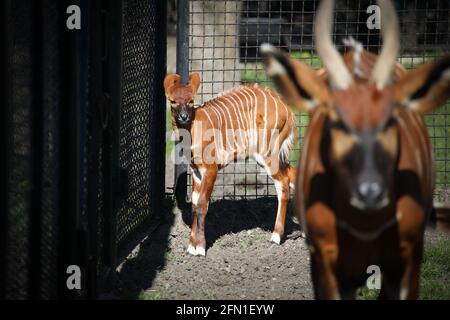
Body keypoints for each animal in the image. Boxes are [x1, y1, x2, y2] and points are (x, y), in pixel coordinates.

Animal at [163, 74, 298, 256]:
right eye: (173, 101)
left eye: (191, 100)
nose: (184, 116)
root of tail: (286, 108)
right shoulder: (196, 171)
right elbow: (194, 204)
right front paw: (191, 246)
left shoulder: (211, 169)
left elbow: (202, 204)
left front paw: (200, 248)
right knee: (291, 175)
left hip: (268, 154)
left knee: (283, 183)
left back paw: (276, 236)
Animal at [260, 0, 450, 300]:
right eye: (335, 119)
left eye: (391, 119)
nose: (370, 192)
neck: (365, 226)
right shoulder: (326, 265)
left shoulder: (409, 259)